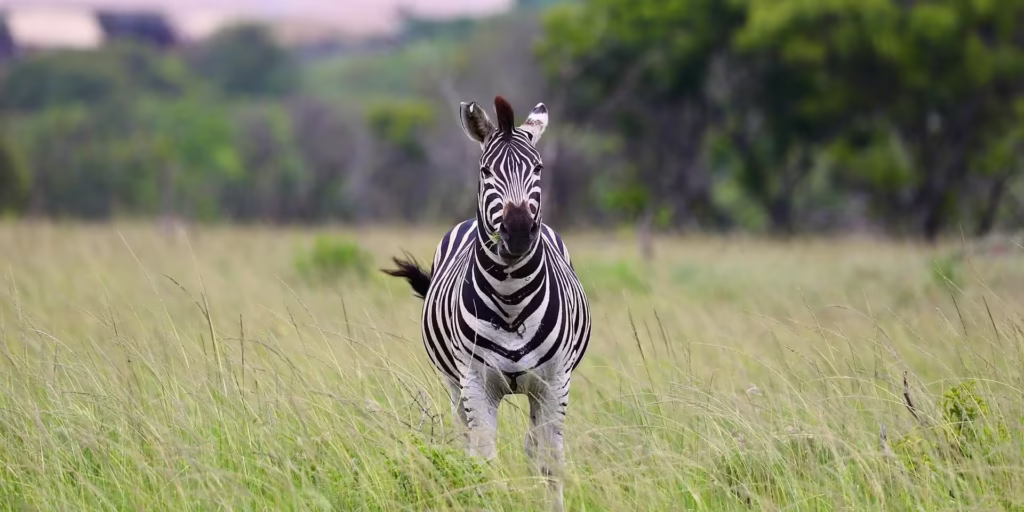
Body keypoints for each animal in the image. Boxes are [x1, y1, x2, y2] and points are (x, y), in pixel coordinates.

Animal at [382, 96, 591, 511]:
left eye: (538, 168)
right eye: (486, 170)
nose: (518, 232)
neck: (511, 299)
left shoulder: (556, 383)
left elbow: (550, 462)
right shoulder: (475, 384)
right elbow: (483, 462)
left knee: (533, 446)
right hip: (453, 384)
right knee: (466, 442)